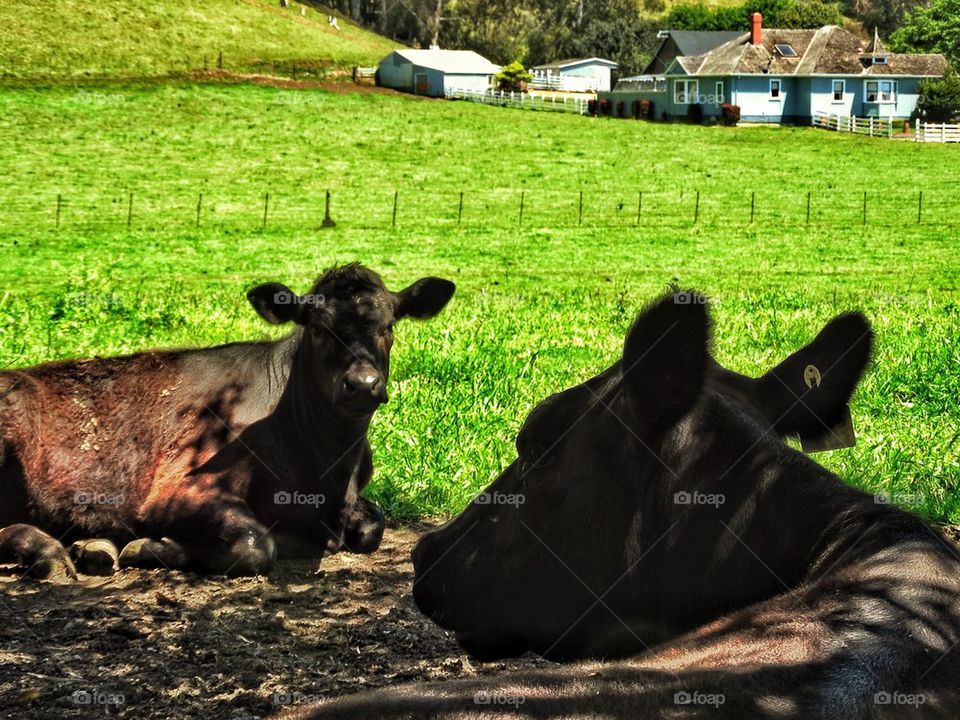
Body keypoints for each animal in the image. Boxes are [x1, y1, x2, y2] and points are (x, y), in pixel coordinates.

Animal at [0, 264, 456, 580]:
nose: (362, 384)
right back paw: (48, 552)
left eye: (388, 326)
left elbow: (373, 525)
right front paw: (148, 547)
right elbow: (257, 545)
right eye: (318, 328)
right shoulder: (175, 491)